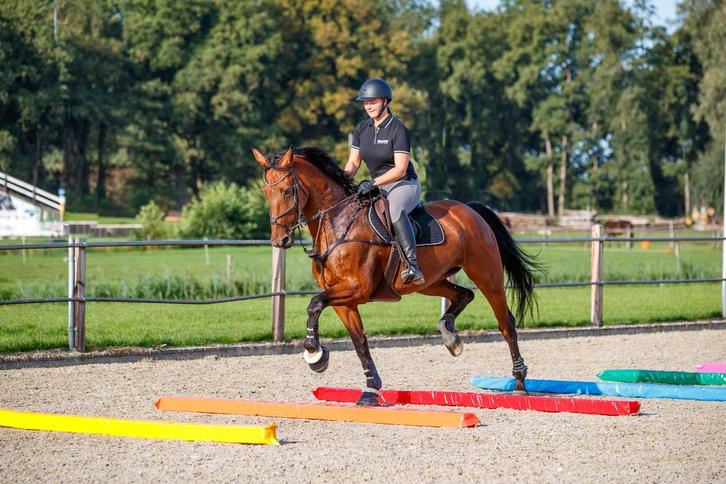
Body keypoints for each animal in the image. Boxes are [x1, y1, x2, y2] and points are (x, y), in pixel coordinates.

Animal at [252, 146, 540, 405]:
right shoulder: (344, 300)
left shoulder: (357, 289)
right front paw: (370, 389)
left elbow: (314, 304)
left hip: (486, 275)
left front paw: (314, 354)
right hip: (430, 282)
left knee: (506, 323)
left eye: (287, 190)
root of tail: (468, 209)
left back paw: (519, 383)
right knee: (464, 294)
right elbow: (359, 341)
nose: (280, 240)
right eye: (265, 192)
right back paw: (450, 337)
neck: (338, 223)